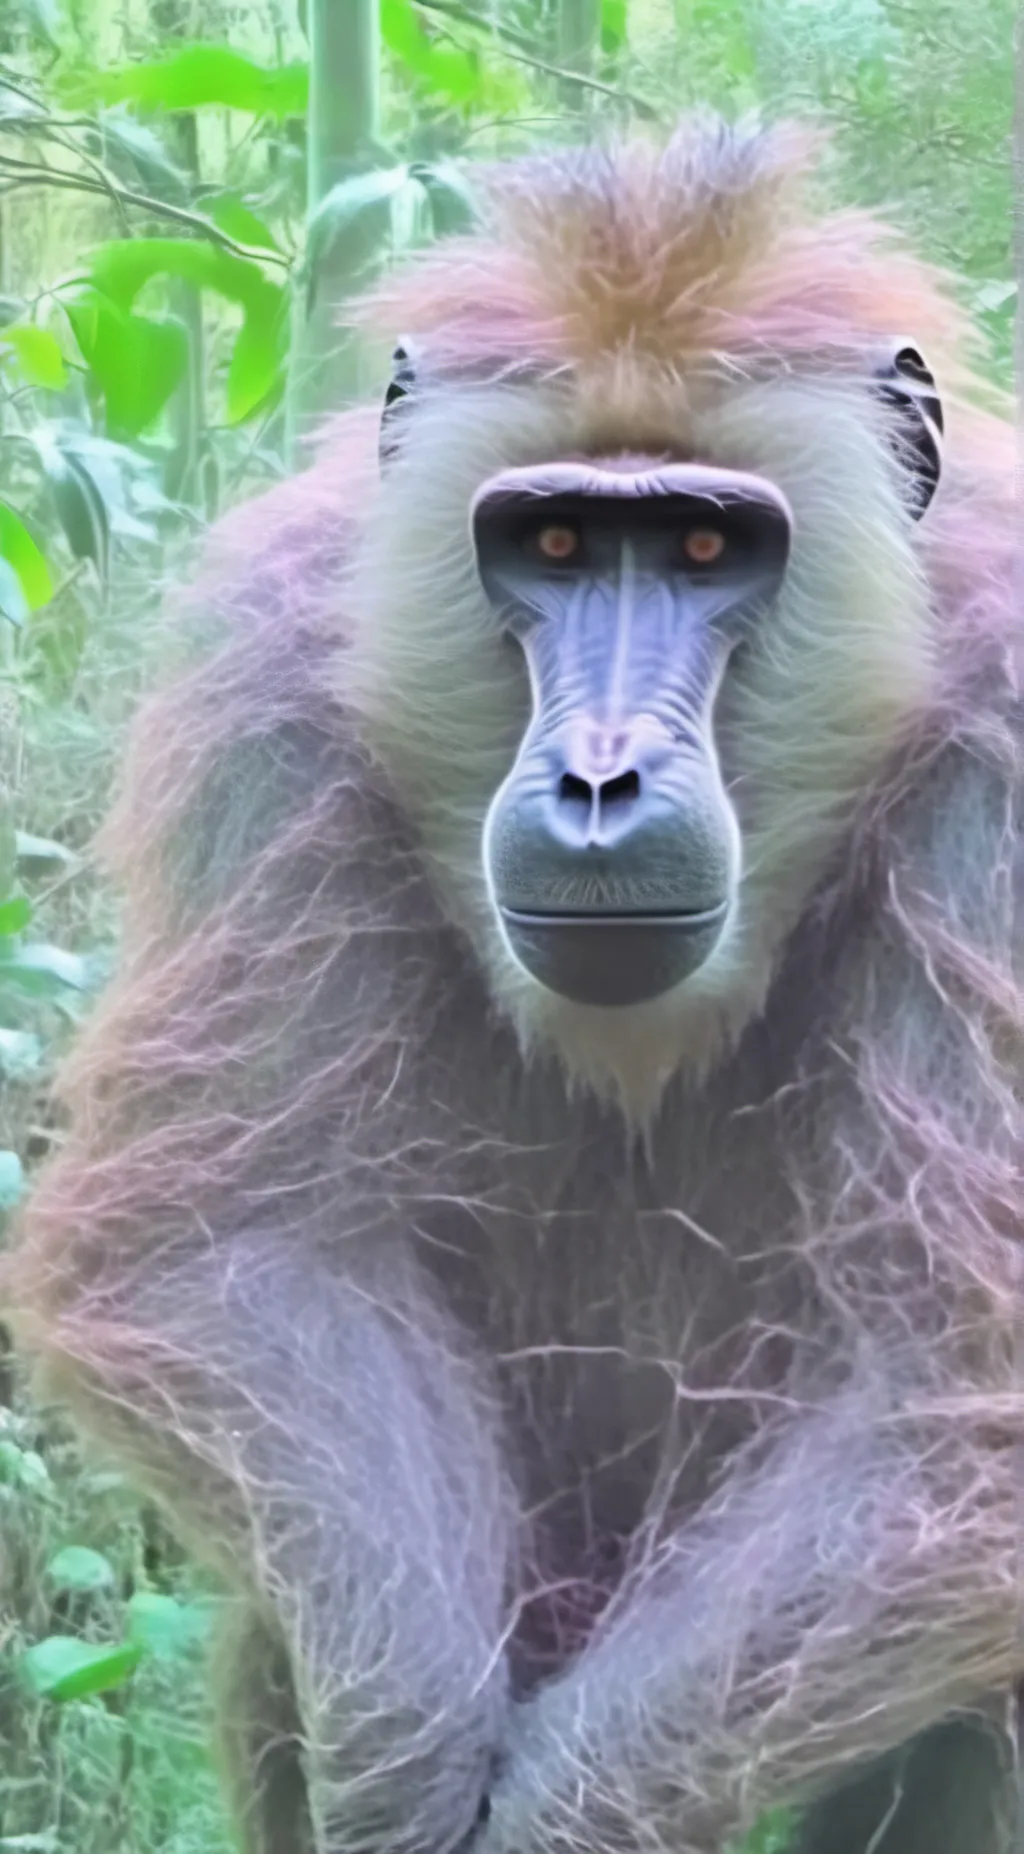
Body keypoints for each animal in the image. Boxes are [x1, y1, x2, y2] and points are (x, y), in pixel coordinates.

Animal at [6, 116, 1020, 1854]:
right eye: (550, 542)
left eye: (704, 545)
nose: (597, 778)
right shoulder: (272, 675)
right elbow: (238, 1249)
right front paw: (408, 1773)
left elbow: (953, 1367)